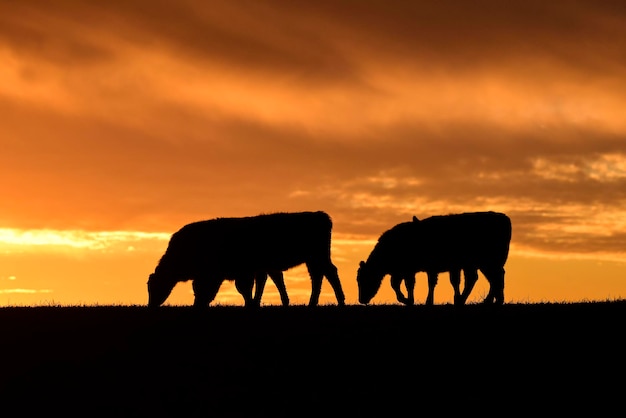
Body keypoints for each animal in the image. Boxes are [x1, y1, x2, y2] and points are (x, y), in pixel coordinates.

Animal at [147, 212, 346, 306]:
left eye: (156, 286)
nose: (151, 305)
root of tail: (320, 215)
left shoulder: (241, 272)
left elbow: (244, 288)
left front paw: (251, 304)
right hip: (314, 259)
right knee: (320, 275)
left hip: (318, 256)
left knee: (328, 273)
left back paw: (337, 300)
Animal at [354, 212, 510, 306]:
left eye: (362, 279)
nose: (361, 300)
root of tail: (503, 217)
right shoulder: (403, 271)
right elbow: (398, 285)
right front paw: (410, 300)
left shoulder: (411, 270)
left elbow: (412, 284)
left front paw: (413, 300)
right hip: (481, 264)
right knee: (488, 279)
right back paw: (488, 300)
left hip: (487, 263)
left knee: (493, 278)